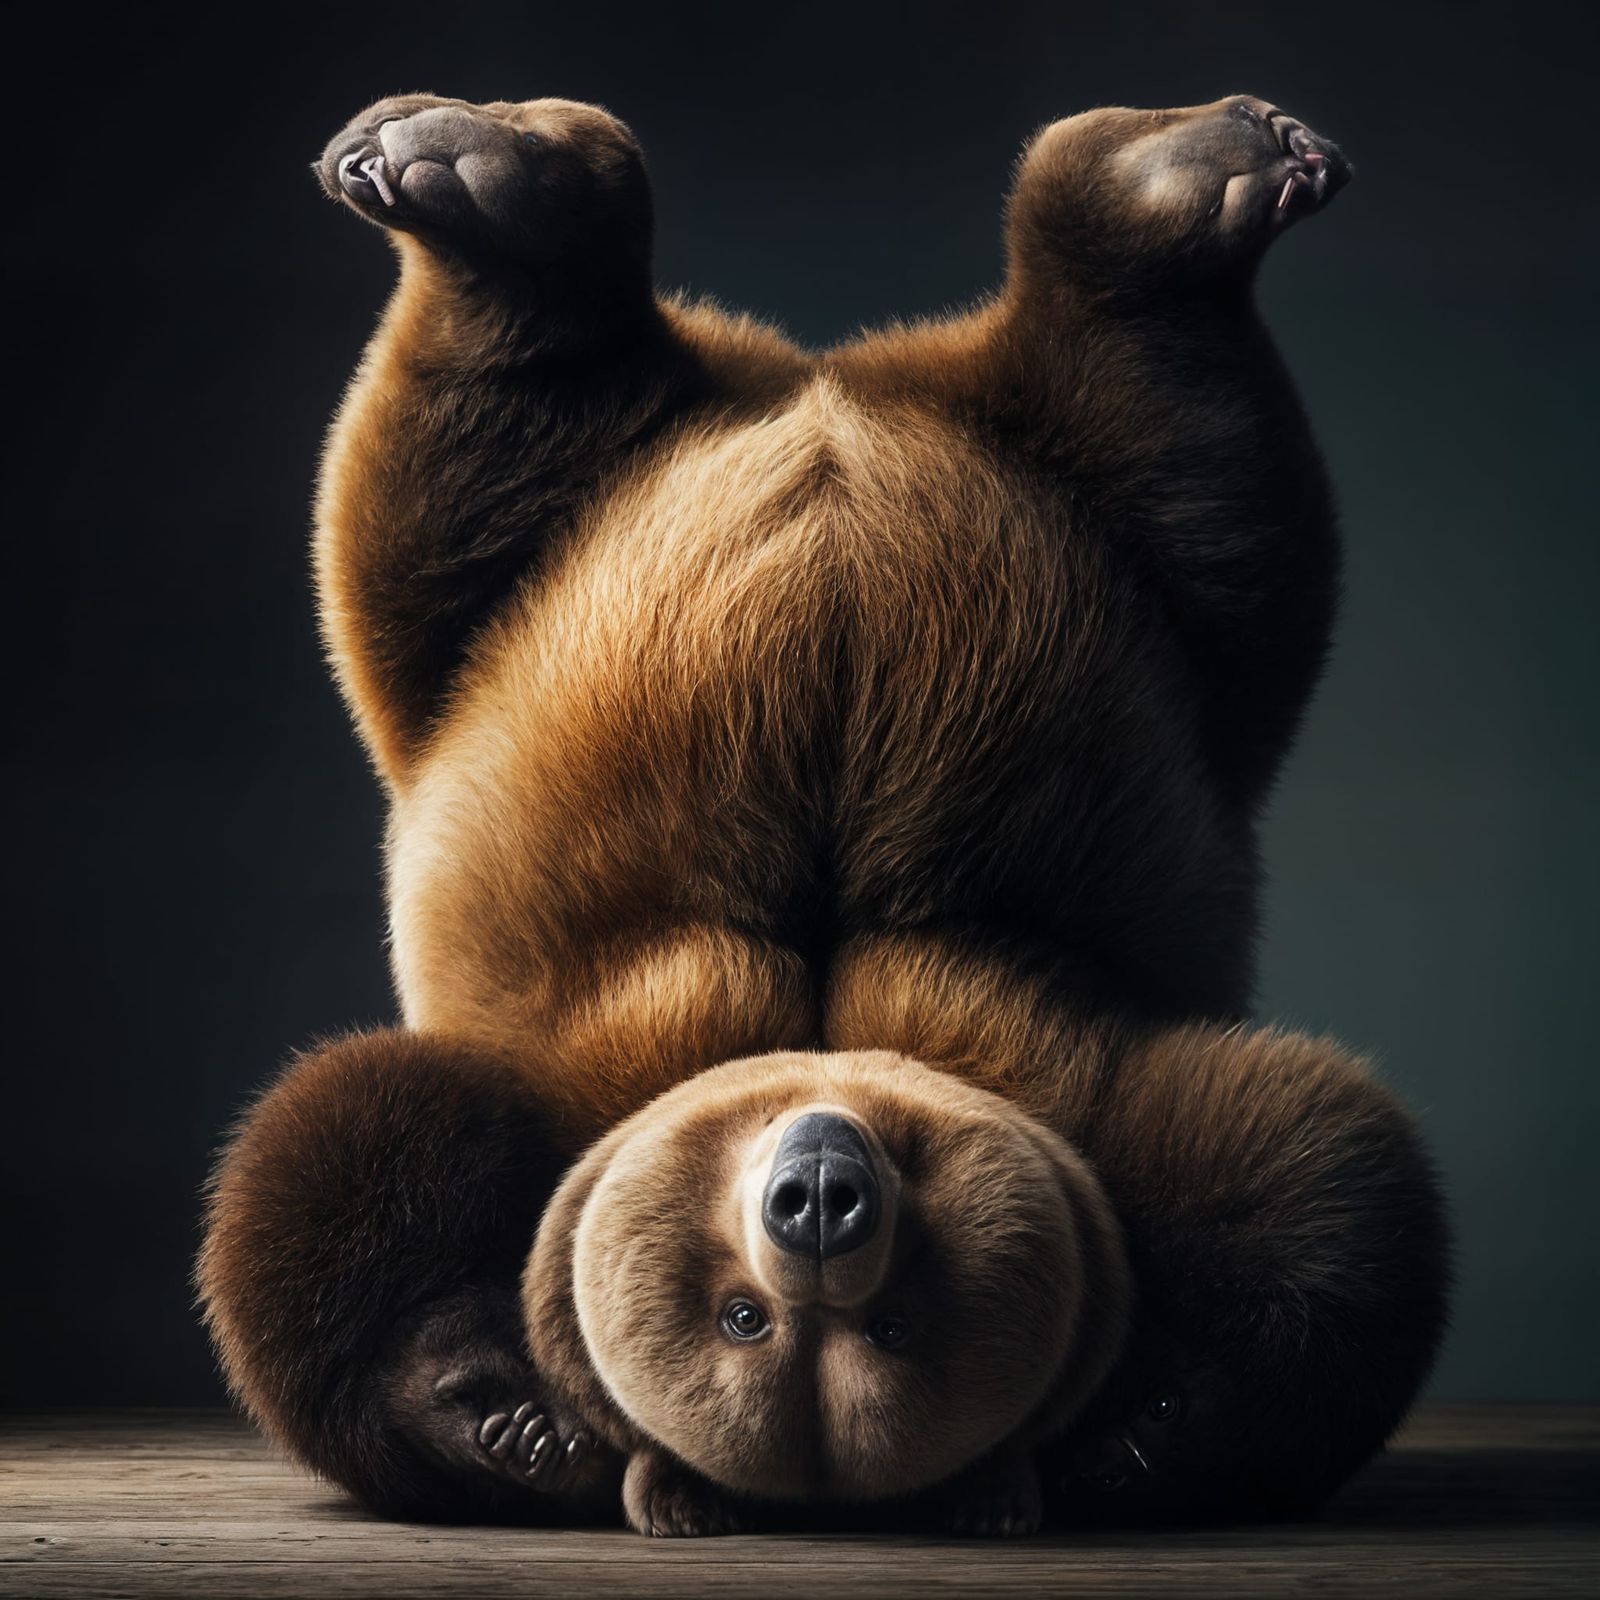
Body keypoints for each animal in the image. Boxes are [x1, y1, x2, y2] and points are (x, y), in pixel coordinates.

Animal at [198, 90, 1449, 1537]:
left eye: (896, 1321)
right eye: (739, 1313)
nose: (821, 1188)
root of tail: (828, 384)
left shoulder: (1084, 1084)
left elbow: (1316, 1178)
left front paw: (1142, 1421)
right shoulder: (567, 1070)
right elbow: (338, 1167)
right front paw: (499, 1403)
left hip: (1108, 546)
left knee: (1191, 454)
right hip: (523, 573)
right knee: (462, 464)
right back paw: (477, 177)